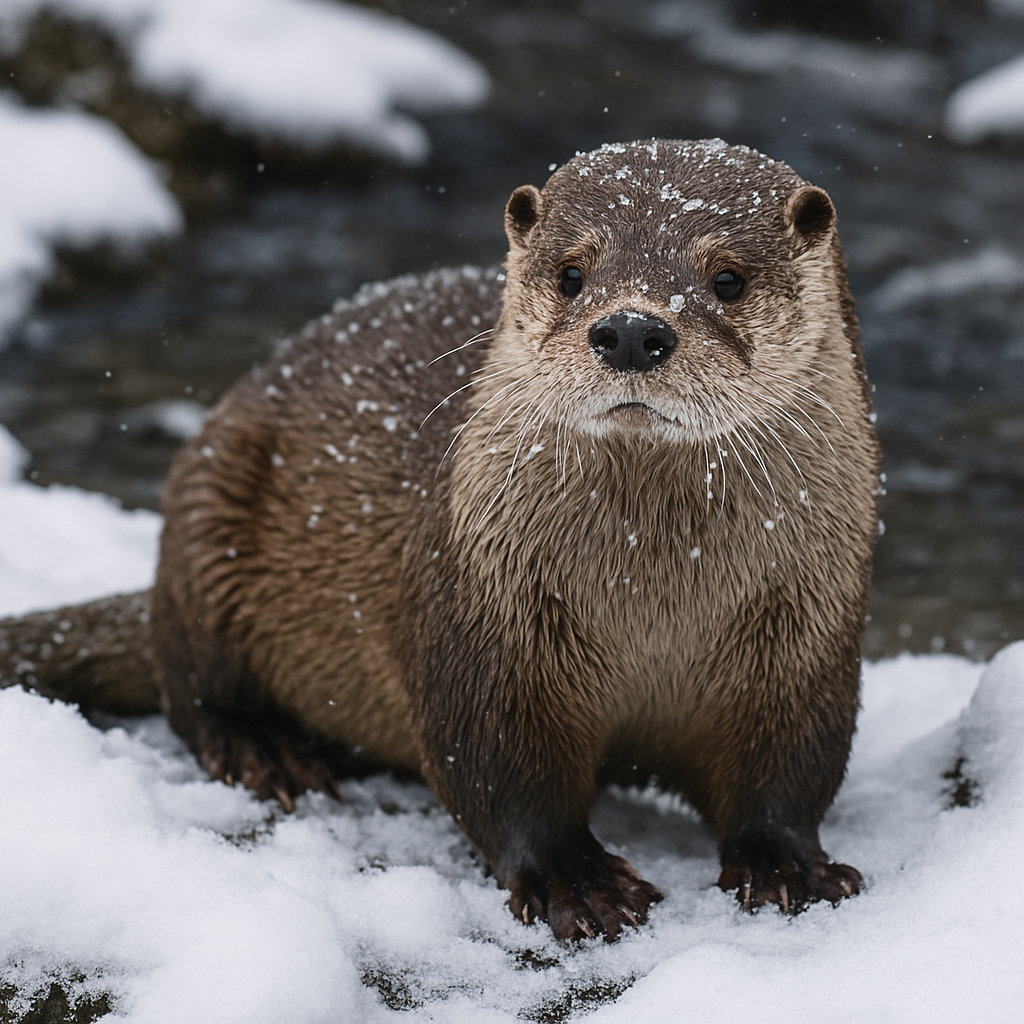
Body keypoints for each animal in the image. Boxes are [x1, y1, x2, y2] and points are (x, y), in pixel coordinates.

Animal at [1, 139, 879, 941]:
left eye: (728, 278)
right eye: (572, 273)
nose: (632, 329)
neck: (654, 597)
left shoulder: (808, 639)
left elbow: (789, 769)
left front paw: (788, 866)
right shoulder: (481, 623)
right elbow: (497, 769)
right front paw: (577, 882)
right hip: (205, 510)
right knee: (192, 686)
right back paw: (267, 752)